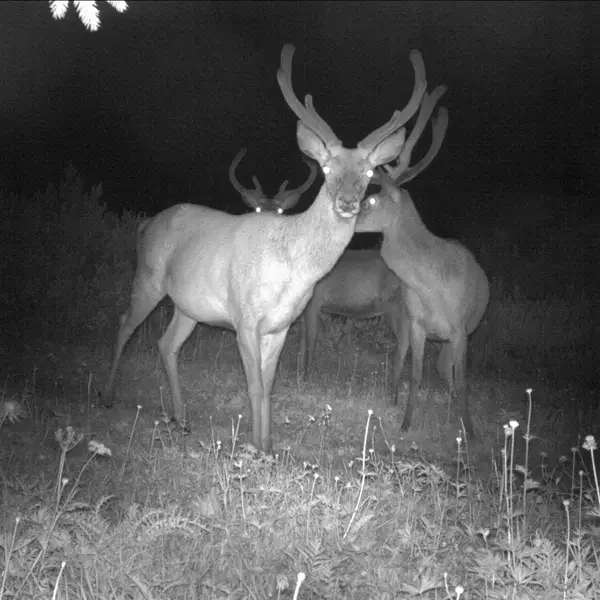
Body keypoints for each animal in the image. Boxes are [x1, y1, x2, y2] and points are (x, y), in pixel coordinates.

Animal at [99, 43, 426, 450]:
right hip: (149, 276)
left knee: (166, 343)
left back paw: (181, 417)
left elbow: (269, 387)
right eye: (327, 167)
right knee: (125, 323)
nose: (349, 202)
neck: (292, 269)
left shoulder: (281, 325)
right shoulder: (244, 317)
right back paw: (108, 396)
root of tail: (147, 223)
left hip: (189, 304)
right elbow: (254, 386)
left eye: (367, 172)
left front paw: (266, 447)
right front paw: (254, 448)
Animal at [300, 81, 450, 404]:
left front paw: (303, 376)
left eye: (370, 196)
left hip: (397, 307)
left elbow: (310, 339)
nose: (349, 206)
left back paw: (393, 394)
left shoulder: (315, 300)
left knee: (405, 344)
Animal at [354, 159, 490, 438]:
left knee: (447, 370)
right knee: (440, 366)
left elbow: (463, 381)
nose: (346, 216)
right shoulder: (418, 325)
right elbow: (416, 375)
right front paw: (406, 423)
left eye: (371, 200)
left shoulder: (460, 329)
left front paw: (471, 433)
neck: (432, 288)